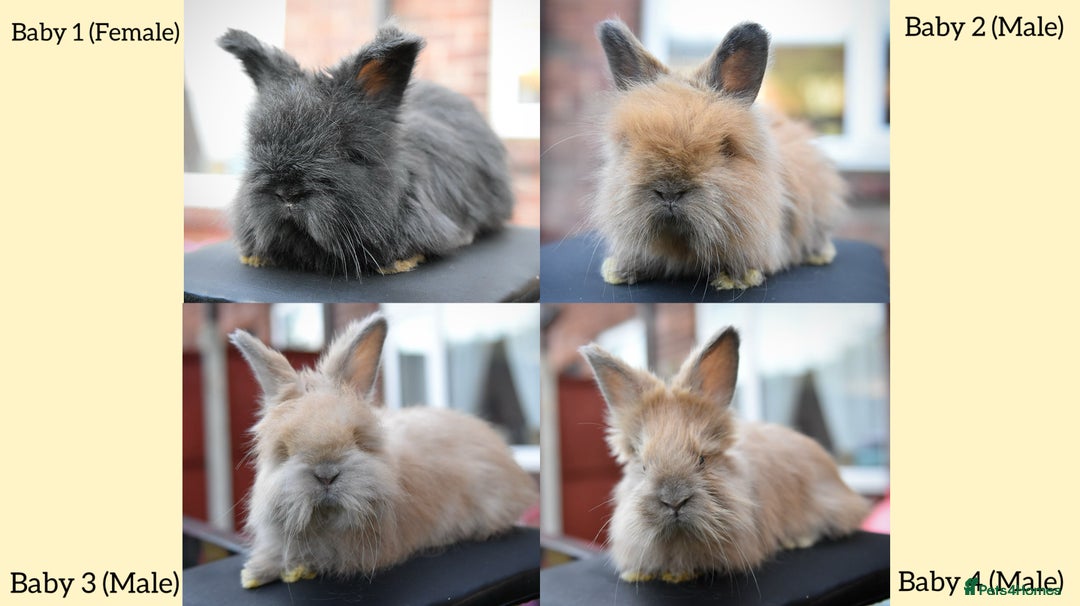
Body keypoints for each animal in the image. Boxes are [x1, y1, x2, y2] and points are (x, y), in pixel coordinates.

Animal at [591, 19, 846, 290]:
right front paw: (619, 271)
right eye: (628, 144)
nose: (669, 192)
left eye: (725, 147)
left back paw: (820, 255)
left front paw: (733, 279)